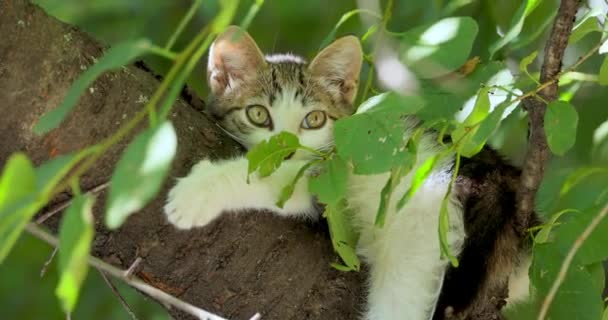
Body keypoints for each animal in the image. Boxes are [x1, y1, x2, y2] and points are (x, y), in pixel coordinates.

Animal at [163, 25, 536, 320]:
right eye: (258, 114)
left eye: (314, 119)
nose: (287, 149)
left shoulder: (328, 173)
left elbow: (273, 177)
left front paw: (195, 194)